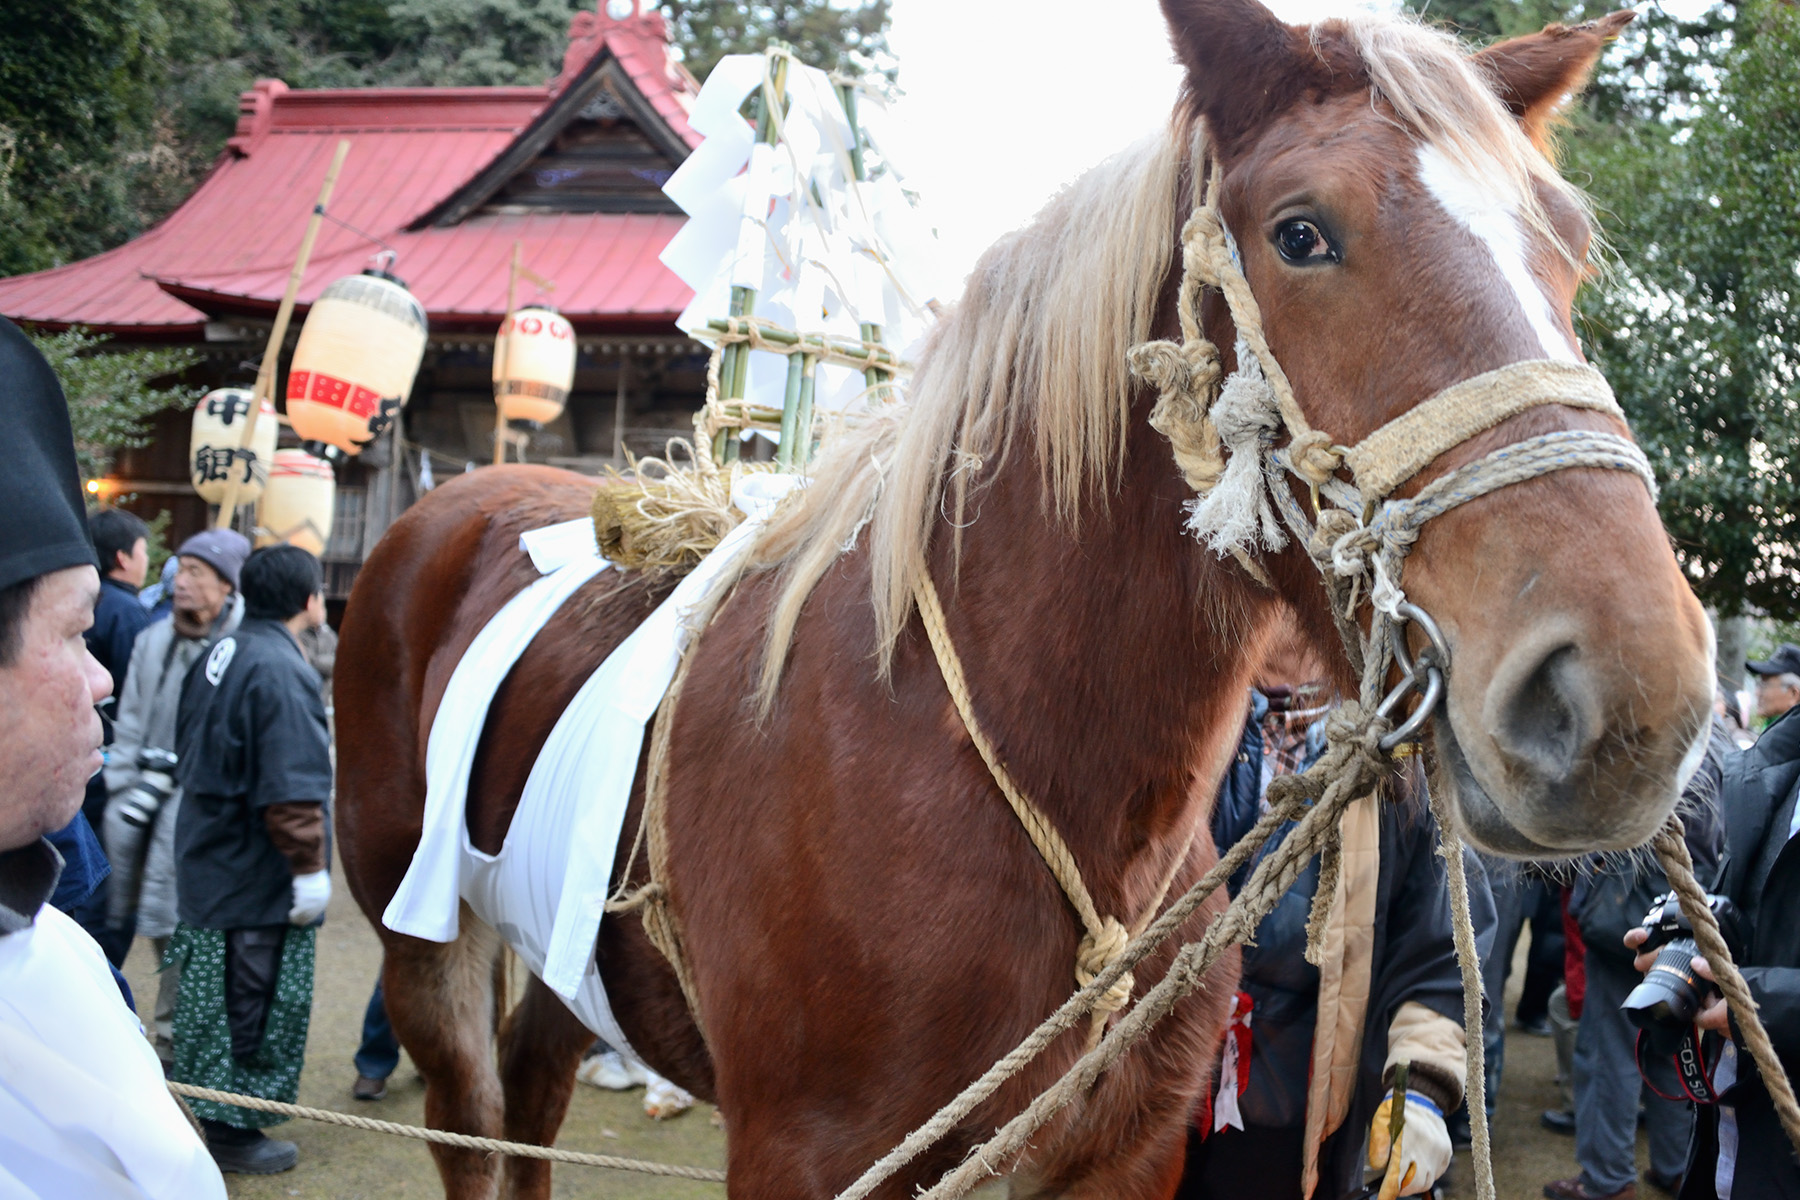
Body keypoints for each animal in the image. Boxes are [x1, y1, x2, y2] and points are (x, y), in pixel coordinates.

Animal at [334, 2, 1713, 1200]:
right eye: (1303, 234)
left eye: (1568, 253)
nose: (1631, 691)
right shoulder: (809, 1158)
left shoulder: (1126, 1154)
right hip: (419, 927)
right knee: (470, 1119)